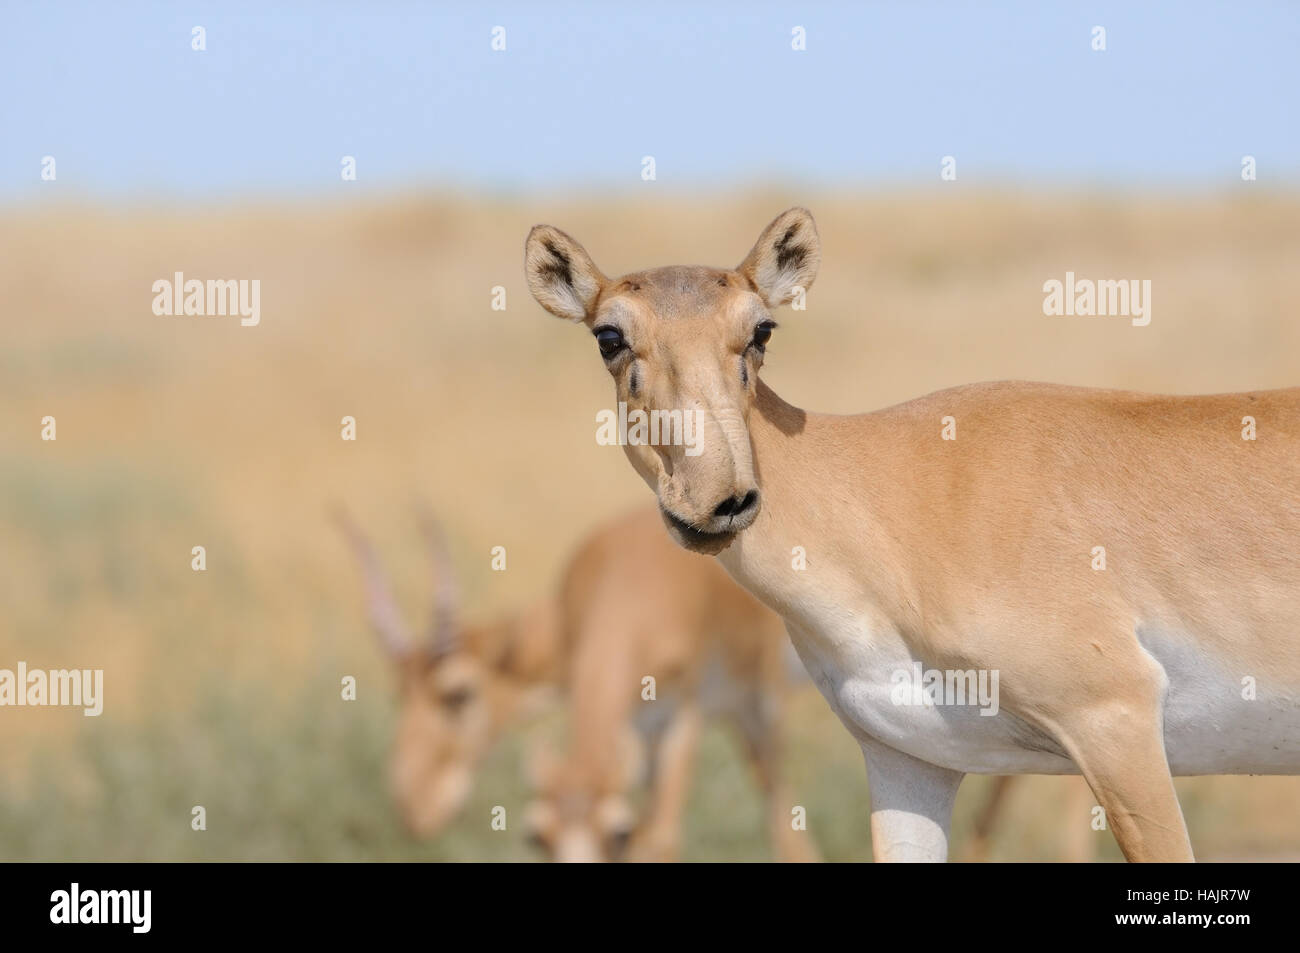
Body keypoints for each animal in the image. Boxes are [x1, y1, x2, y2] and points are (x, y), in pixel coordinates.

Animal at [525, 208, 1300, 863]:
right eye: (609, 335)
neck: (901, 492)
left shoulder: (1115, 721)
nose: (720, 502)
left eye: (762, 328)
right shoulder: (909, 761)